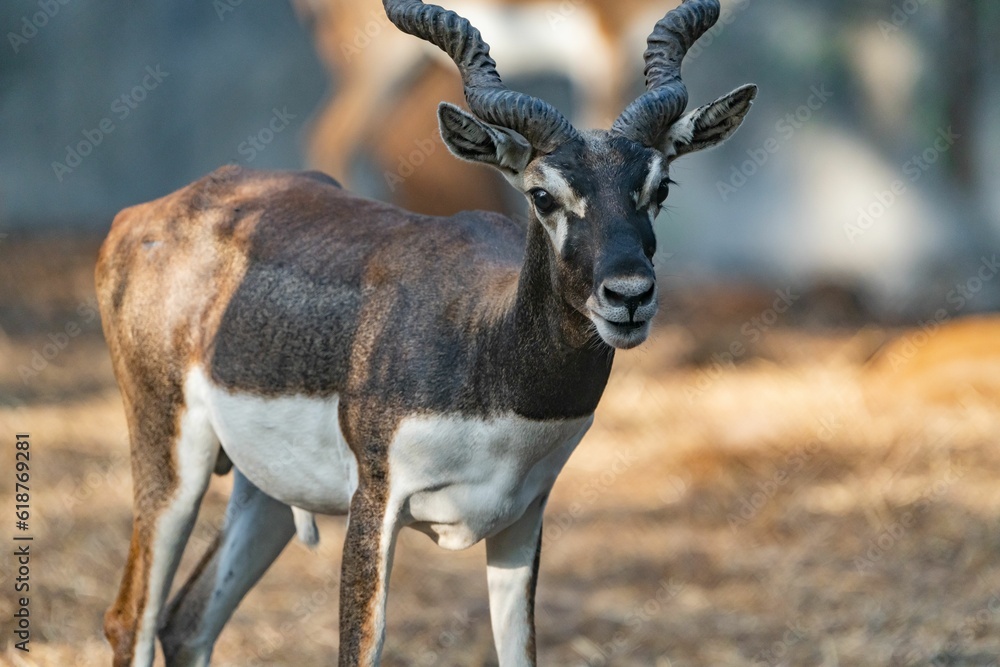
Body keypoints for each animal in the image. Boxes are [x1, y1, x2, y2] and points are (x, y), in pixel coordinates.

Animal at [96, 0, 756, 664]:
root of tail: (146, 215)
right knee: (131, 618)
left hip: (267, 495)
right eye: (542, 195)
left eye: (659, 186)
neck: (488, 351)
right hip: (172, 458)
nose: (629, 296)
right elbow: (361, 648)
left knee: (187, 621)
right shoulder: (375, 503)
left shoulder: (523, 517)